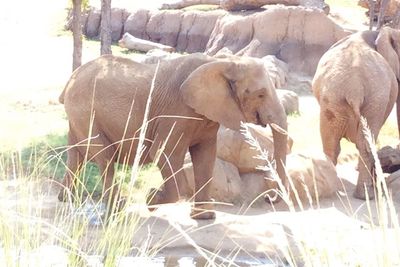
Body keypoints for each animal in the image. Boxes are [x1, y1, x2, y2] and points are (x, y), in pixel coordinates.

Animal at [57, 52, 288, 220]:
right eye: (260, 95)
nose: (269, 198)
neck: (222, 62)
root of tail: (70, 79)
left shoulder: (207, 116)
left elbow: (206, 156)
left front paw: (205, 217)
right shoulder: (176, 111)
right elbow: (163, 151)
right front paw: (151, 199)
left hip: (78, 116)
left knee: (77, 155)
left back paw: (66, 199)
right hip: (86, 111)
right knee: (105, 156)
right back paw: (117, 207)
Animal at [312, 27, 400, 200]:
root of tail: (354, 89)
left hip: (335, 99)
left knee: (333, 142)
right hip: (365, 99)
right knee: (361, 143)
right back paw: (367, 195)